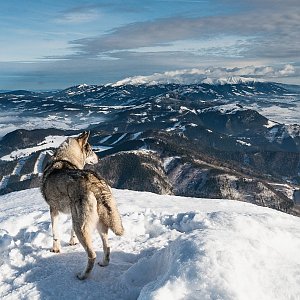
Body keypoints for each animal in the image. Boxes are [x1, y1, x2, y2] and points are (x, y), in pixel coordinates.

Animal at [41, 132, 123, 280]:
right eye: (91, 150)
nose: (98, 158)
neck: (65, 158)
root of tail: (94, 182)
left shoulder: (53, 209)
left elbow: (55, 232)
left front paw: (55, 249)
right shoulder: (70, 213)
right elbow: (69, 231)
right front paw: (72, 242)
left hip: (82, 228)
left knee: (92, 255)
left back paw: (82, 276)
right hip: (99, 225)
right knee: (107, 247)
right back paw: (103, 263)